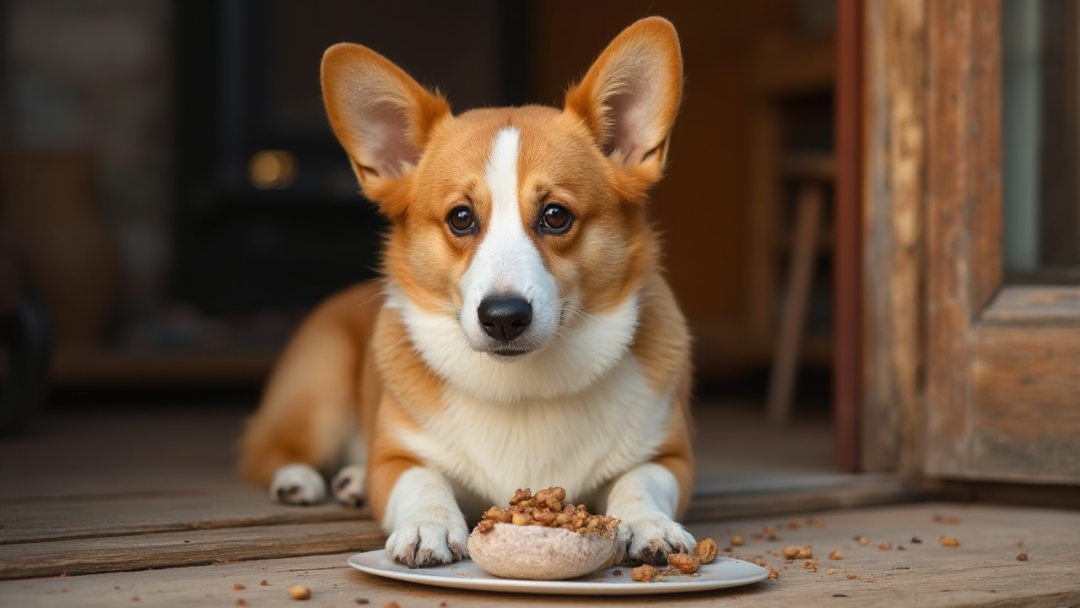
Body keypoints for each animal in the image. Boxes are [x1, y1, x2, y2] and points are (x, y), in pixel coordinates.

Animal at [240, 19, 695, 570]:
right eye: (461, 217)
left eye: (556, 215)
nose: (503, 317)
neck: (523, 390)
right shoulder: (393, 460)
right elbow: (423, 481)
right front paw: (428, 527)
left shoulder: (671, 456)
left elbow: (640, 480)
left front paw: (650, 523)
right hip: (319, 391)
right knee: (269, 450)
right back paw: (300, 480)